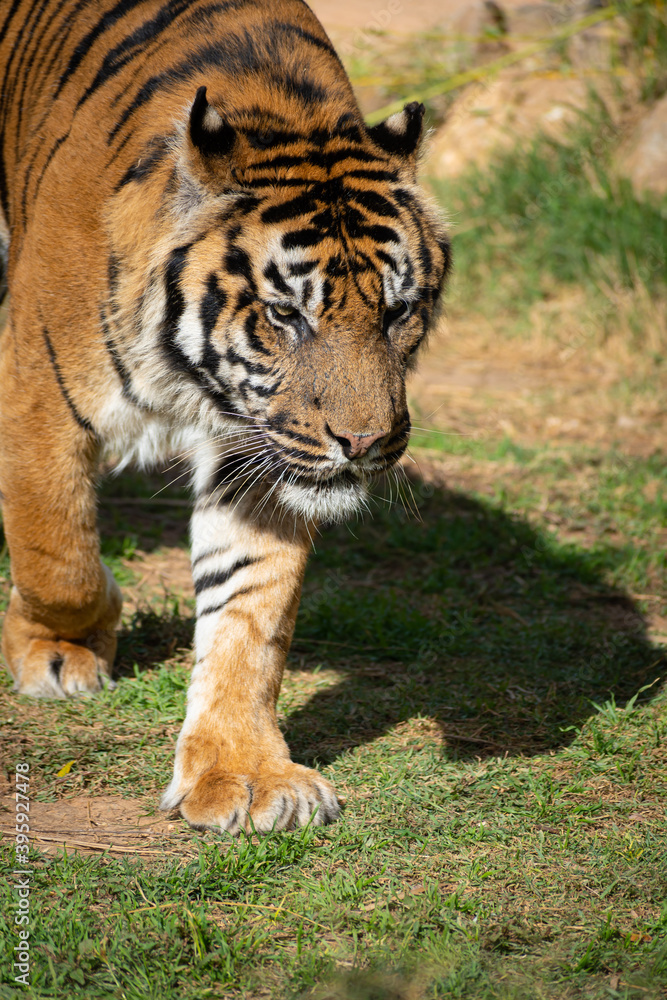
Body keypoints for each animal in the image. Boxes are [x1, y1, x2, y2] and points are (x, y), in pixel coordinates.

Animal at [0, 0, 450, 834]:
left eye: (398, 310)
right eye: (285, 314)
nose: (364, 442)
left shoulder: (263, 450)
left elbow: (250, 610)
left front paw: (242, 774)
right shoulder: (38, 395)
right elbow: (58, 552)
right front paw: (62, 649)